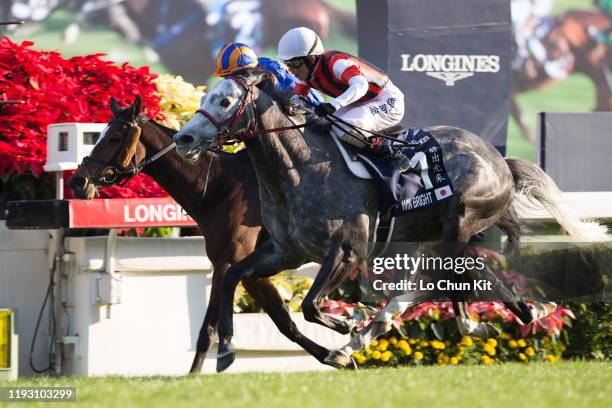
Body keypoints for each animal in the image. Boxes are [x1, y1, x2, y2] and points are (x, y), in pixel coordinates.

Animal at [68, 95, 330, 372]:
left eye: (114, 137)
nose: (78, 181)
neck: (219, 187)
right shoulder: (247, 269)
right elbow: (284, 321)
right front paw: (336, 355)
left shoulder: (228, 261)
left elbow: (208, 330)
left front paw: (196, 371)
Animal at [173, 71, 608, 372]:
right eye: (208, 96)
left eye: (225, 100)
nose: (184, 139)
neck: (298, 168)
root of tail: (499, 159)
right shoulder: (286, 252)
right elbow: (233, 276)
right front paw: (226, 350)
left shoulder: (347, 250)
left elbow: (311, 306)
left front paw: (346, 322)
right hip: (431, 238)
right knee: (428, 289)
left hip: (459, 226)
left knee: (462, 281)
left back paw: (503, 318)